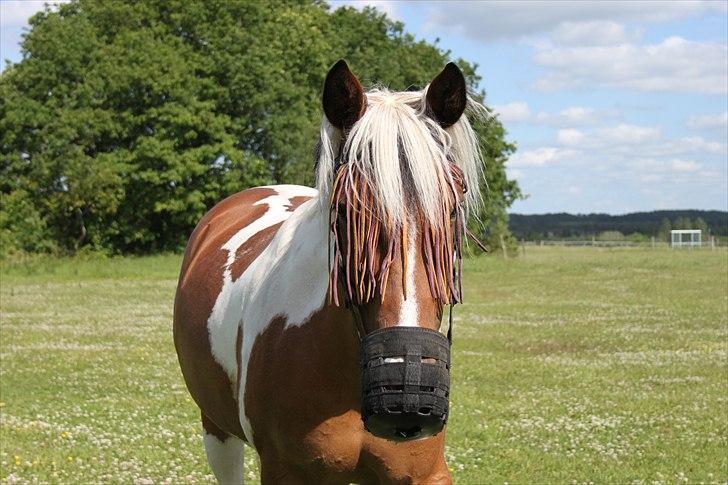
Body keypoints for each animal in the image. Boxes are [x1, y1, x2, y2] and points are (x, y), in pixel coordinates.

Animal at [173, 59, 485, 484]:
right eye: (343, 212)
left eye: (453, 209)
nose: (405, 397)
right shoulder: (283, 471)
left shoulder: (425, 475)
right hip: (216, 430)